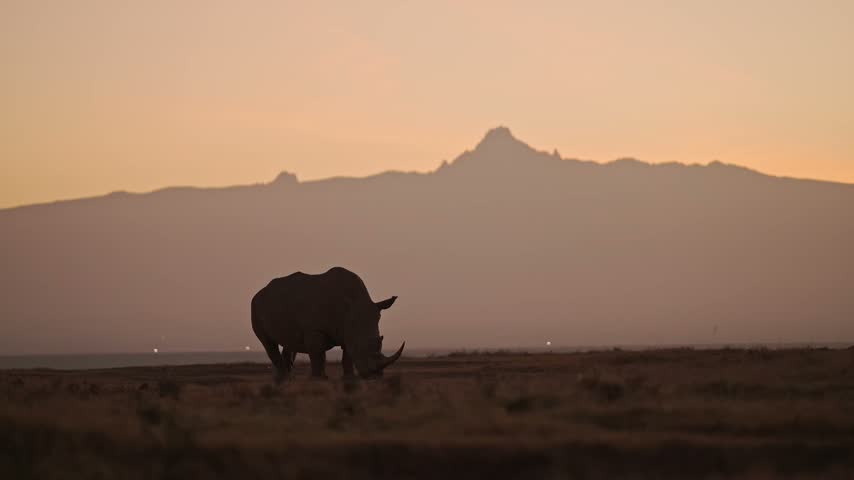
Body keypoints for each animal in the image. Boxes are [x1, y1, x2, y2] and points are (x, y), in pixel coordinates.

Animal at [251, 267, 404, 382]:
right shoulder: (315, 329)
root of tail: (260, 292)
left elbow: (346, 356)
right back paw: (284, 379)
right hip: (255, 306)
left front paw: (348, 378)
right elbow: (317, 354)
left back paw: (287, 379)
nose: (375, 375)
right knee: (268, 342)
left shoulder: (347, 330)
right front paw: (318, 379)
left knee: (289, 342)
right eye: (360, 348)